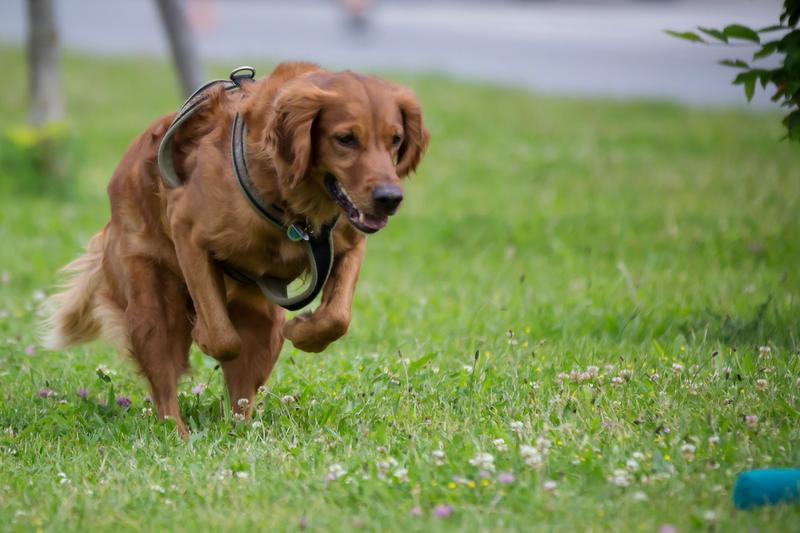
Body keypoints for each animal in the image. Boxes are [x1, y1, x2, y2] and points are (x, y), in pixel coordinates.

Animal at [42, 63, 432, 436]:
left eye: (395, 139)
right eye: (346, 139)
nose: (389, 199)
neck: (294, 204)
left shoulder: (349, 243)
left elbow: (337, 317)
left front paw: (304, 332)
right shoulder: (188, 232)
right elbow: (222, 336)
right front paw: (203, 333)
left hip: (265, 321)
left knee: (243, 395)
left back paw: (241, 431)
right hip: (152, 306)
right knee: (165, 386)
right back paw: (178, 434)